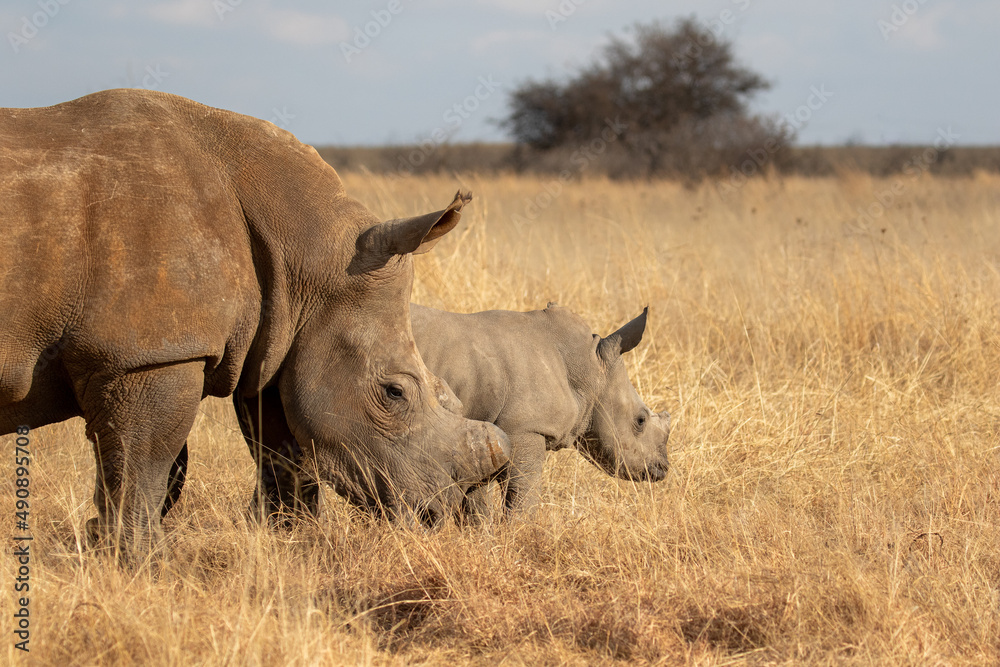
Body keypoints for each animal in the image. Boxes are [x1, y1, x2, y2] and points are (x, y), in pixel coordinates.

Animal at [0, 89, 511, 556]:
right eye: (393, 393)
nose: (438, 516)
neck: (308, 251)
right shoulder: (149, 353)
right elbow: (143, 466)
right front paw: (137, 565)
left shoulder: (268, 337)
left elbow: (273, 450)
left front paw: (290, 541)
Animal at [409, 303, 671, 518]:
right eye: (640, 420)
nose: (662, 469)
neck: (589, 370)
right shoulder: (525, 428)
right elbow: (523, 493)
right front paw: (517, 535)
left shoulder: (482, 426)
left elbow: (477, 501)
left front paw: (482, 538)